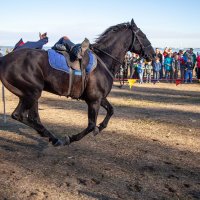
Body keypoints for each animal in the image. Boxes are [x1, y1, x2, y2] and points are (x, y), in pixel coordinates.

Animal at [0, 19, 155, 146]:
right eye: (143, 35)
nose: (153, 54)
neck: (103, 60)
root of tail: (5, 59)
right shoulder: (94, 100)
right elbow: (91, 125)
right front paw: (71, 138)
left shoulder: (99, 98)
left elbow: (110, 111)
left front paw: (101, 127)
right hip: (32, 93)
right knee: (19, 115)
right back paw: (55, 138)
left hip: (31, 95)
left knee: (33, 118)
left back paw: (52, 137)